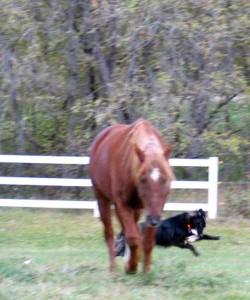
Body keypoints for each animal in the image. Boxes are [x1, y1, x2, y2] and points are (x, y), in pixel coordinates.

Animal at [89, 118, 174, 274]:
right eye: (143, 179)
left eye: (165, 179)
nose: (154, 220)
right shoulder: (123, 204)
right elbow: (133, 238)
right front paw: (131, 267)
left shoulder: (149, 210)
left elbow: (147, 241)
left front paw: (145, 271)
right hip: (102, 199)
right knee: (109, 232)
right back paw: (114, 269)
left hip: (137, 209)